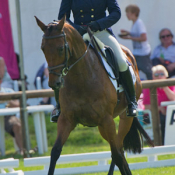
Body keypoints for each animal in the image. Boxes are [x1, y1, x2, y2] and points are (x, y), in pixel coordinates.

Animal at [35, 15, 153, 175]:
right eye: (43, 48)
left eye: (60, 48)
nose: (54, 83)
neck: (81, 77)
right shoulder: (66, 119)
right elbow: (55, 152)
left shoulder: (107, 120)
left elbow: (116, 153)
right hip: (102, 127)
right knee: (119, 149)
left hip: (123, 118)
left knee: (118, 149)